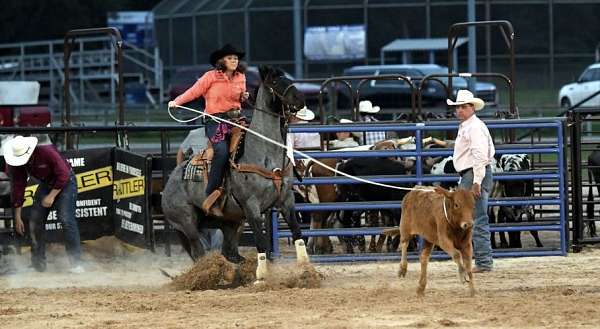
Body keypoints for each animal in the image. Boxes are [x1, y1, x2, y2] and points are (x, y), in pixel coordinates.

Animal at [161, 66, 304, 266]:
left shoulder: (286, 200)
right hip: (187, 222)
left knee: (229, 252)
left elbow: (298, 235)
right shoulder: (251, 206)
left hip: (230, 221)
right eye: (275, 82)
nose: (300, 99)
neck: (264, 151)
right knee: (199, 252)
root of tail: (169, 182)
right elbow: (260, 243)